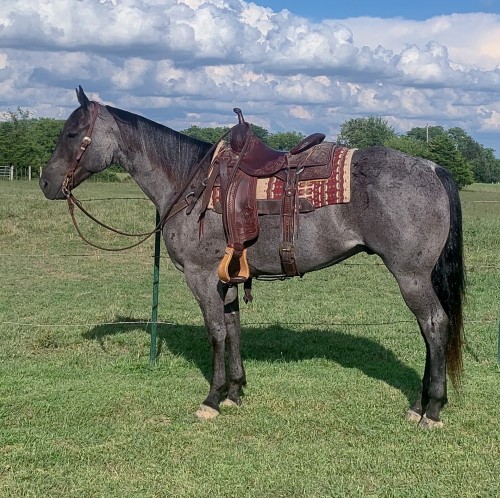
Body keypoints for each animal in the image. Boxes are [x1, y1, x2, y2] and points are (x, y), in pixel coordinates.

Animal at [39, 86, 464, 428]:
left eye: (72, 133)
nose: (45, 182)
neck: (189, 184)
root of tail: (432, 167)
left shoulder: (200, 276)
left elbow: (215, 332)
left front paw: (212, 399)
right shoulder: (226, 277)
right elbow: (233, 328)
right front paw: (235, 391)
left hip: (410, 276)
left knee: (434, 325)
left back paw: (432, 410)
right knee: (429, 329)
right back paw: (419, 404)